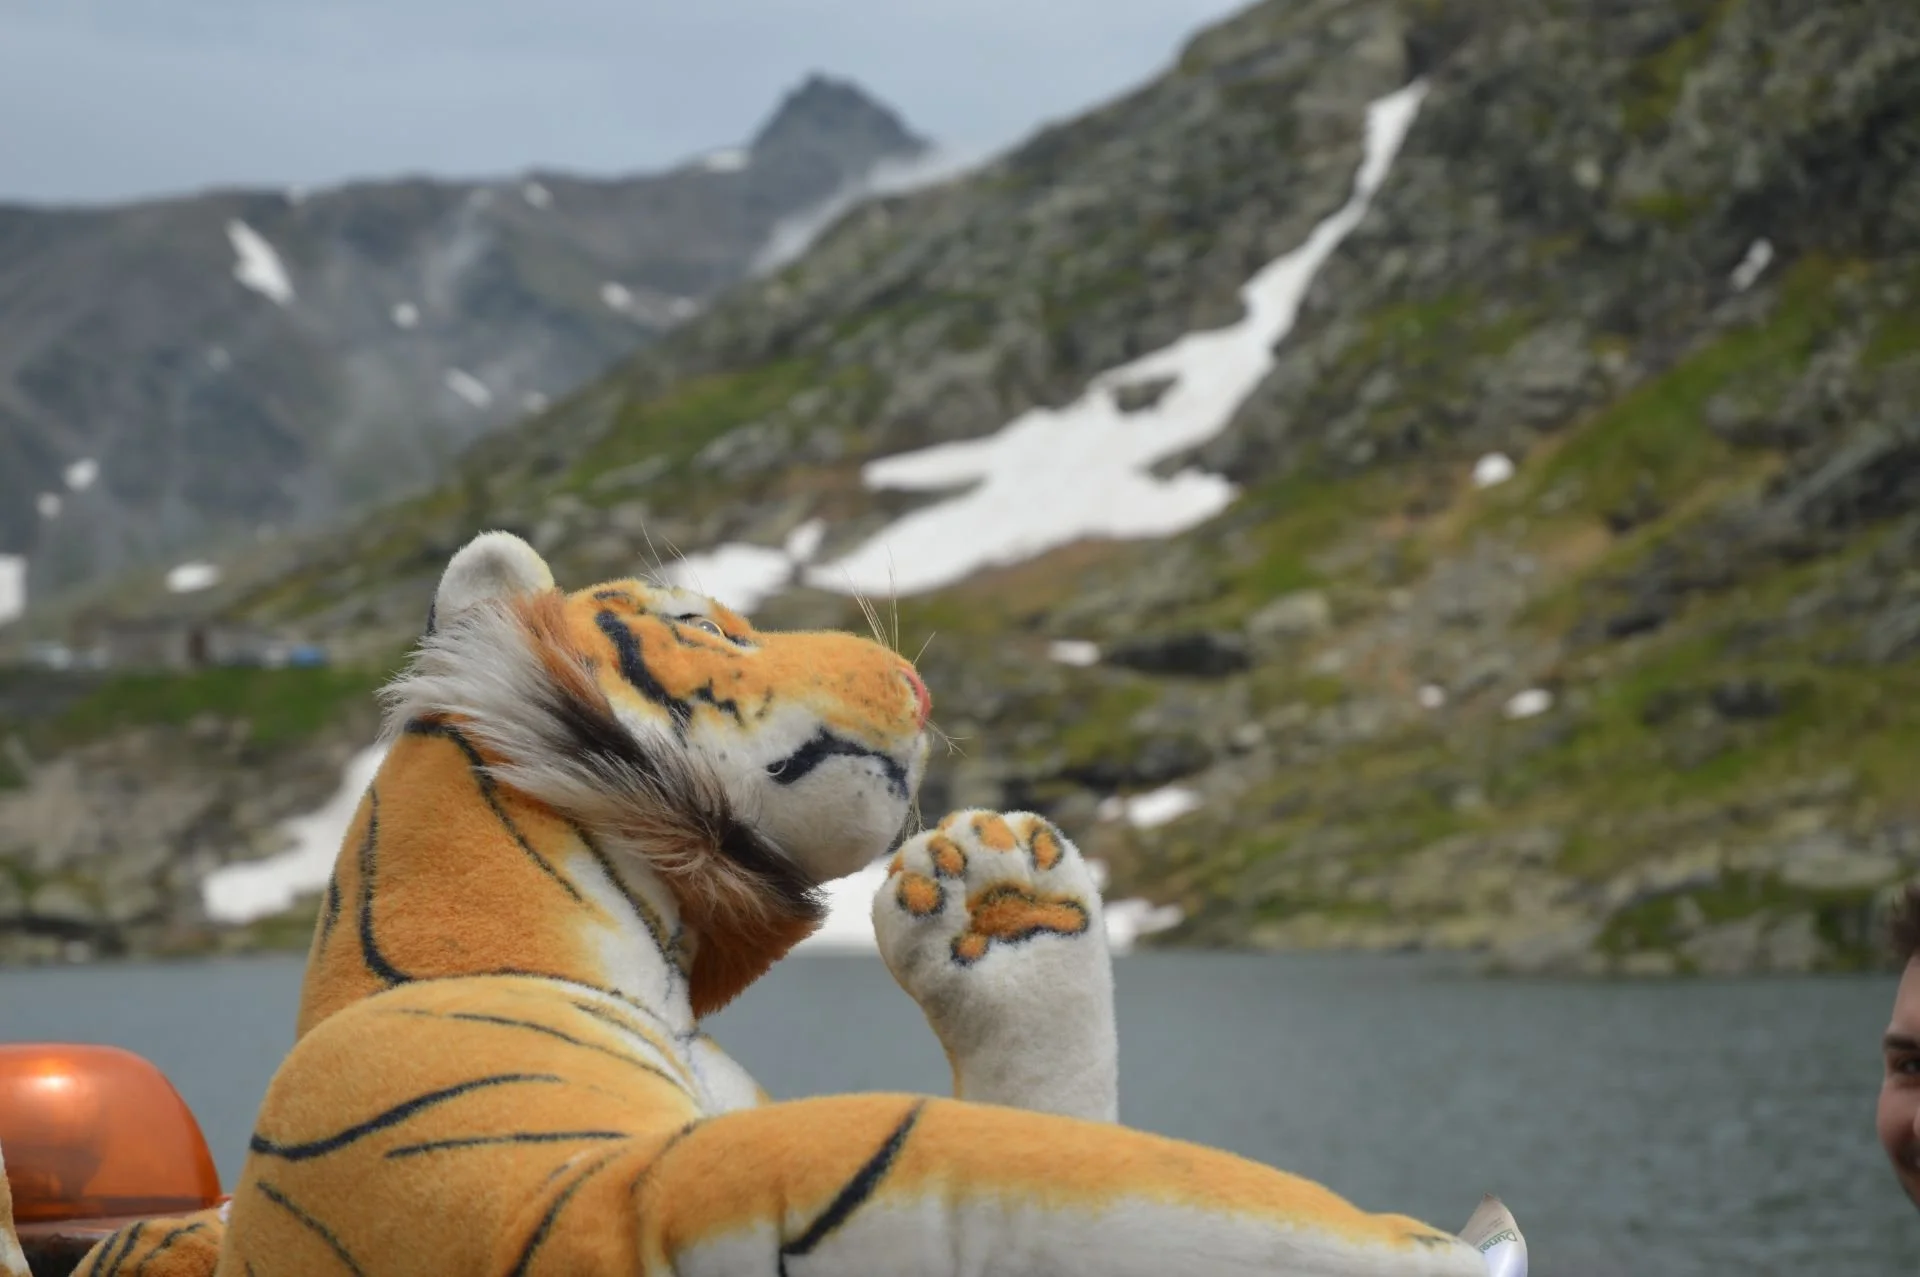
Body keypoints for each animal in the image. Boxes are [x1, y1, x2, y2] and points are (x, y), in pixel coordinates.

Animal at [60, 530, 1500, 1276]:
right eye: (708, 622)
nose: (920, 685)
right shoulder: (571, 1193)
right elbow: (952, 1158)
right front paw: (1414, 1244)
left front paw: (996, 900)